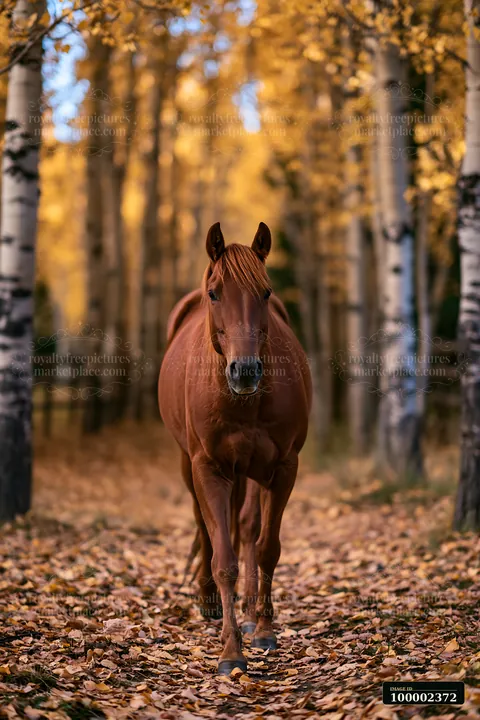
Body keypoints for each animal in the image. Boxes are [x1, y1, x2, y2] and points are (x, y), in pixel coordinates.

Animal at [158, 222, 312, 675]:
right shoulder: (208, 468)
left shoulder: (283, 468)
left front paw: (262, 630)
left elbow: (266, 549)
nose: (244, 371)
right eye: (215, 293)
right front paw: (230, 652)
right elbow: (223, 559)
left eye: (265, 292)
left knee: (246, 528)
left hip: (253, 472)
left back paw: (246, 614)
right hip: (190, 465)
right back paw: (210, 603)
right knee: (205, 527)